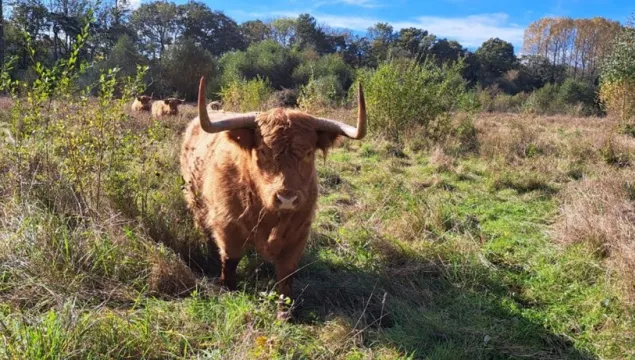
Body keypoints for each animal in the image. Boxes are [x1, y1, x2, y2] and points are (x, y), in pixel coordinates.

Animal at [179, 76, 368, 318]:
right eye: (262, 151)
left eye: (308, 153)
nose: (287, 198)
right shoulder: (227, 226)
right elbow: (230, 259)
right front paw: (228, 288)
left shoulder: (298, 233)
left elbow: (286, 273)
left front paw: (285, 311)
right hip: (194, 201)